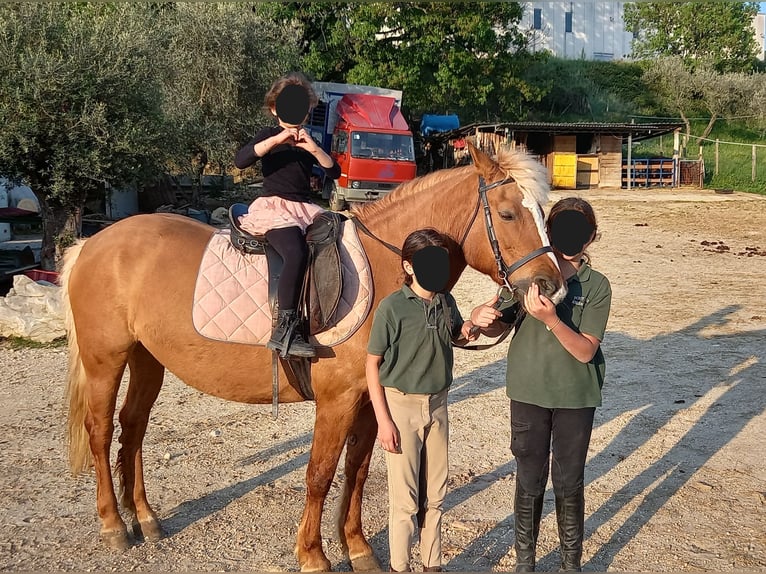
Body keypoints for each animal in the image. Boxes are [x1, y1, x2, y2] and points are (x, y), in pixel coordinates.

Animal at [63, 143, 568, 572]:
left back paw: (145, 517)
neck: (389, 268)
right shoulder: (337, 400)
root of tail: (92, 243)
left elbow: (358, 471)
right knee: (101, 430)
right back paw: (114, 525)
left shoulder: (369, 402)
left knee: (133, 428)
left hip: (147, 360)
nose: (551, 286)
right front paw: (313, 555)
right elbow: (320, 474)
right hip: (106, 360)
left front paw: (358, 549)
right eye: (507, 213)